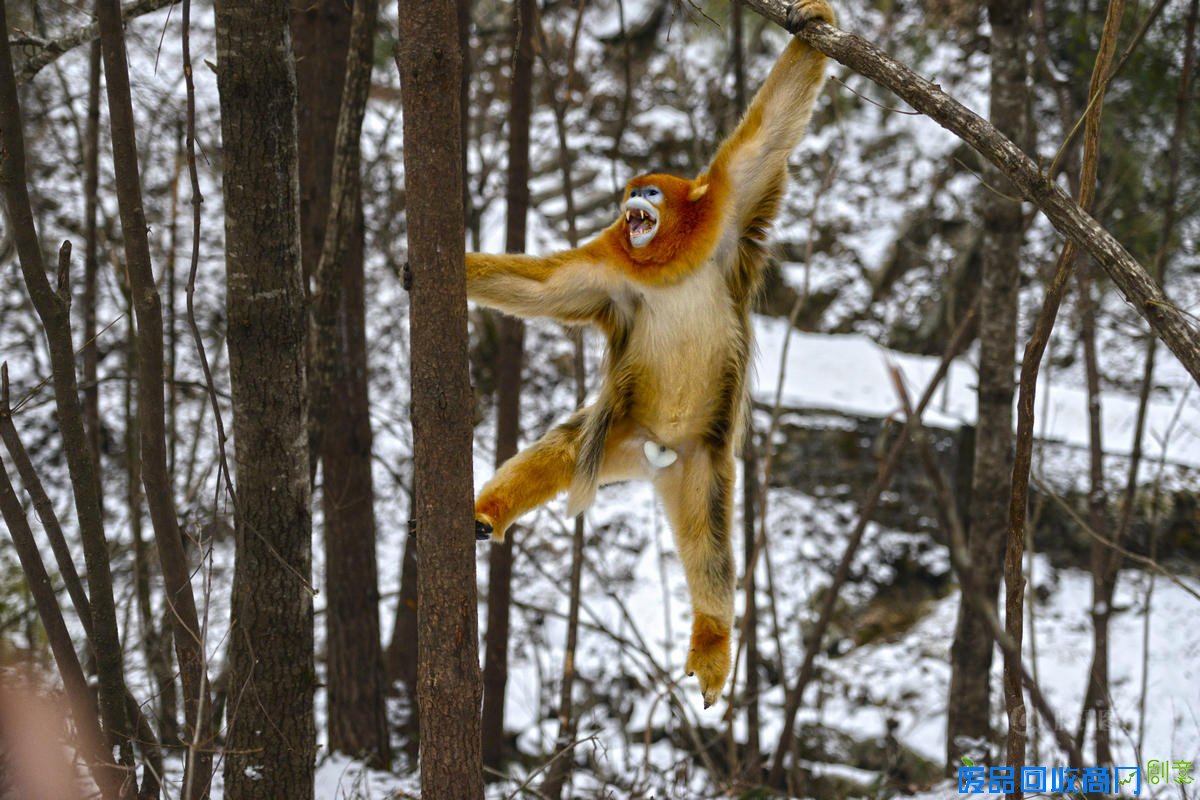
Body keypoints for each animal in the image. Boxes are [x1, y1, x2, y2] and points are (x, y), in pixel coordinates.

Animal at [463, 3, 830, 710]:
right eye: (632, 190)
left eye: (651, 193)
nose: (632, 198)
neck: (666, 260)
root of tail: (654, 456)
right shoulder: (607, 271)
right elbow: (539, 287)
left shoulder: (729, 206)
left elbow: (770, 131)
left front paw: (815, 19)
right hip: (618, 434)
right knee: (563, 451)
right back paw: (487, 513)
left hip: (701, 467)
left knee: (709, 549)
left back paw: (713, 641)